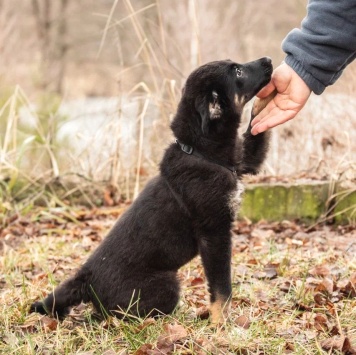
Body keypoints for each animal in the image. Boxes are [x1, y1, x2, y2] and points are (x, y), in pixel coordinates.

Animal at [31, 57, 272, 326]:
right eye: (238, 72)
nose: (269, 60)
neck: (201, 151)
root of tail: (87, 277)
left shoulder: (244, 162)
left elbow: (256, 129)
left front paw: (269, 99)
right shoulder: (214, 232)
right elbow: (221, 287)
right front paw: (221, 322)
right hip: (166, 286)